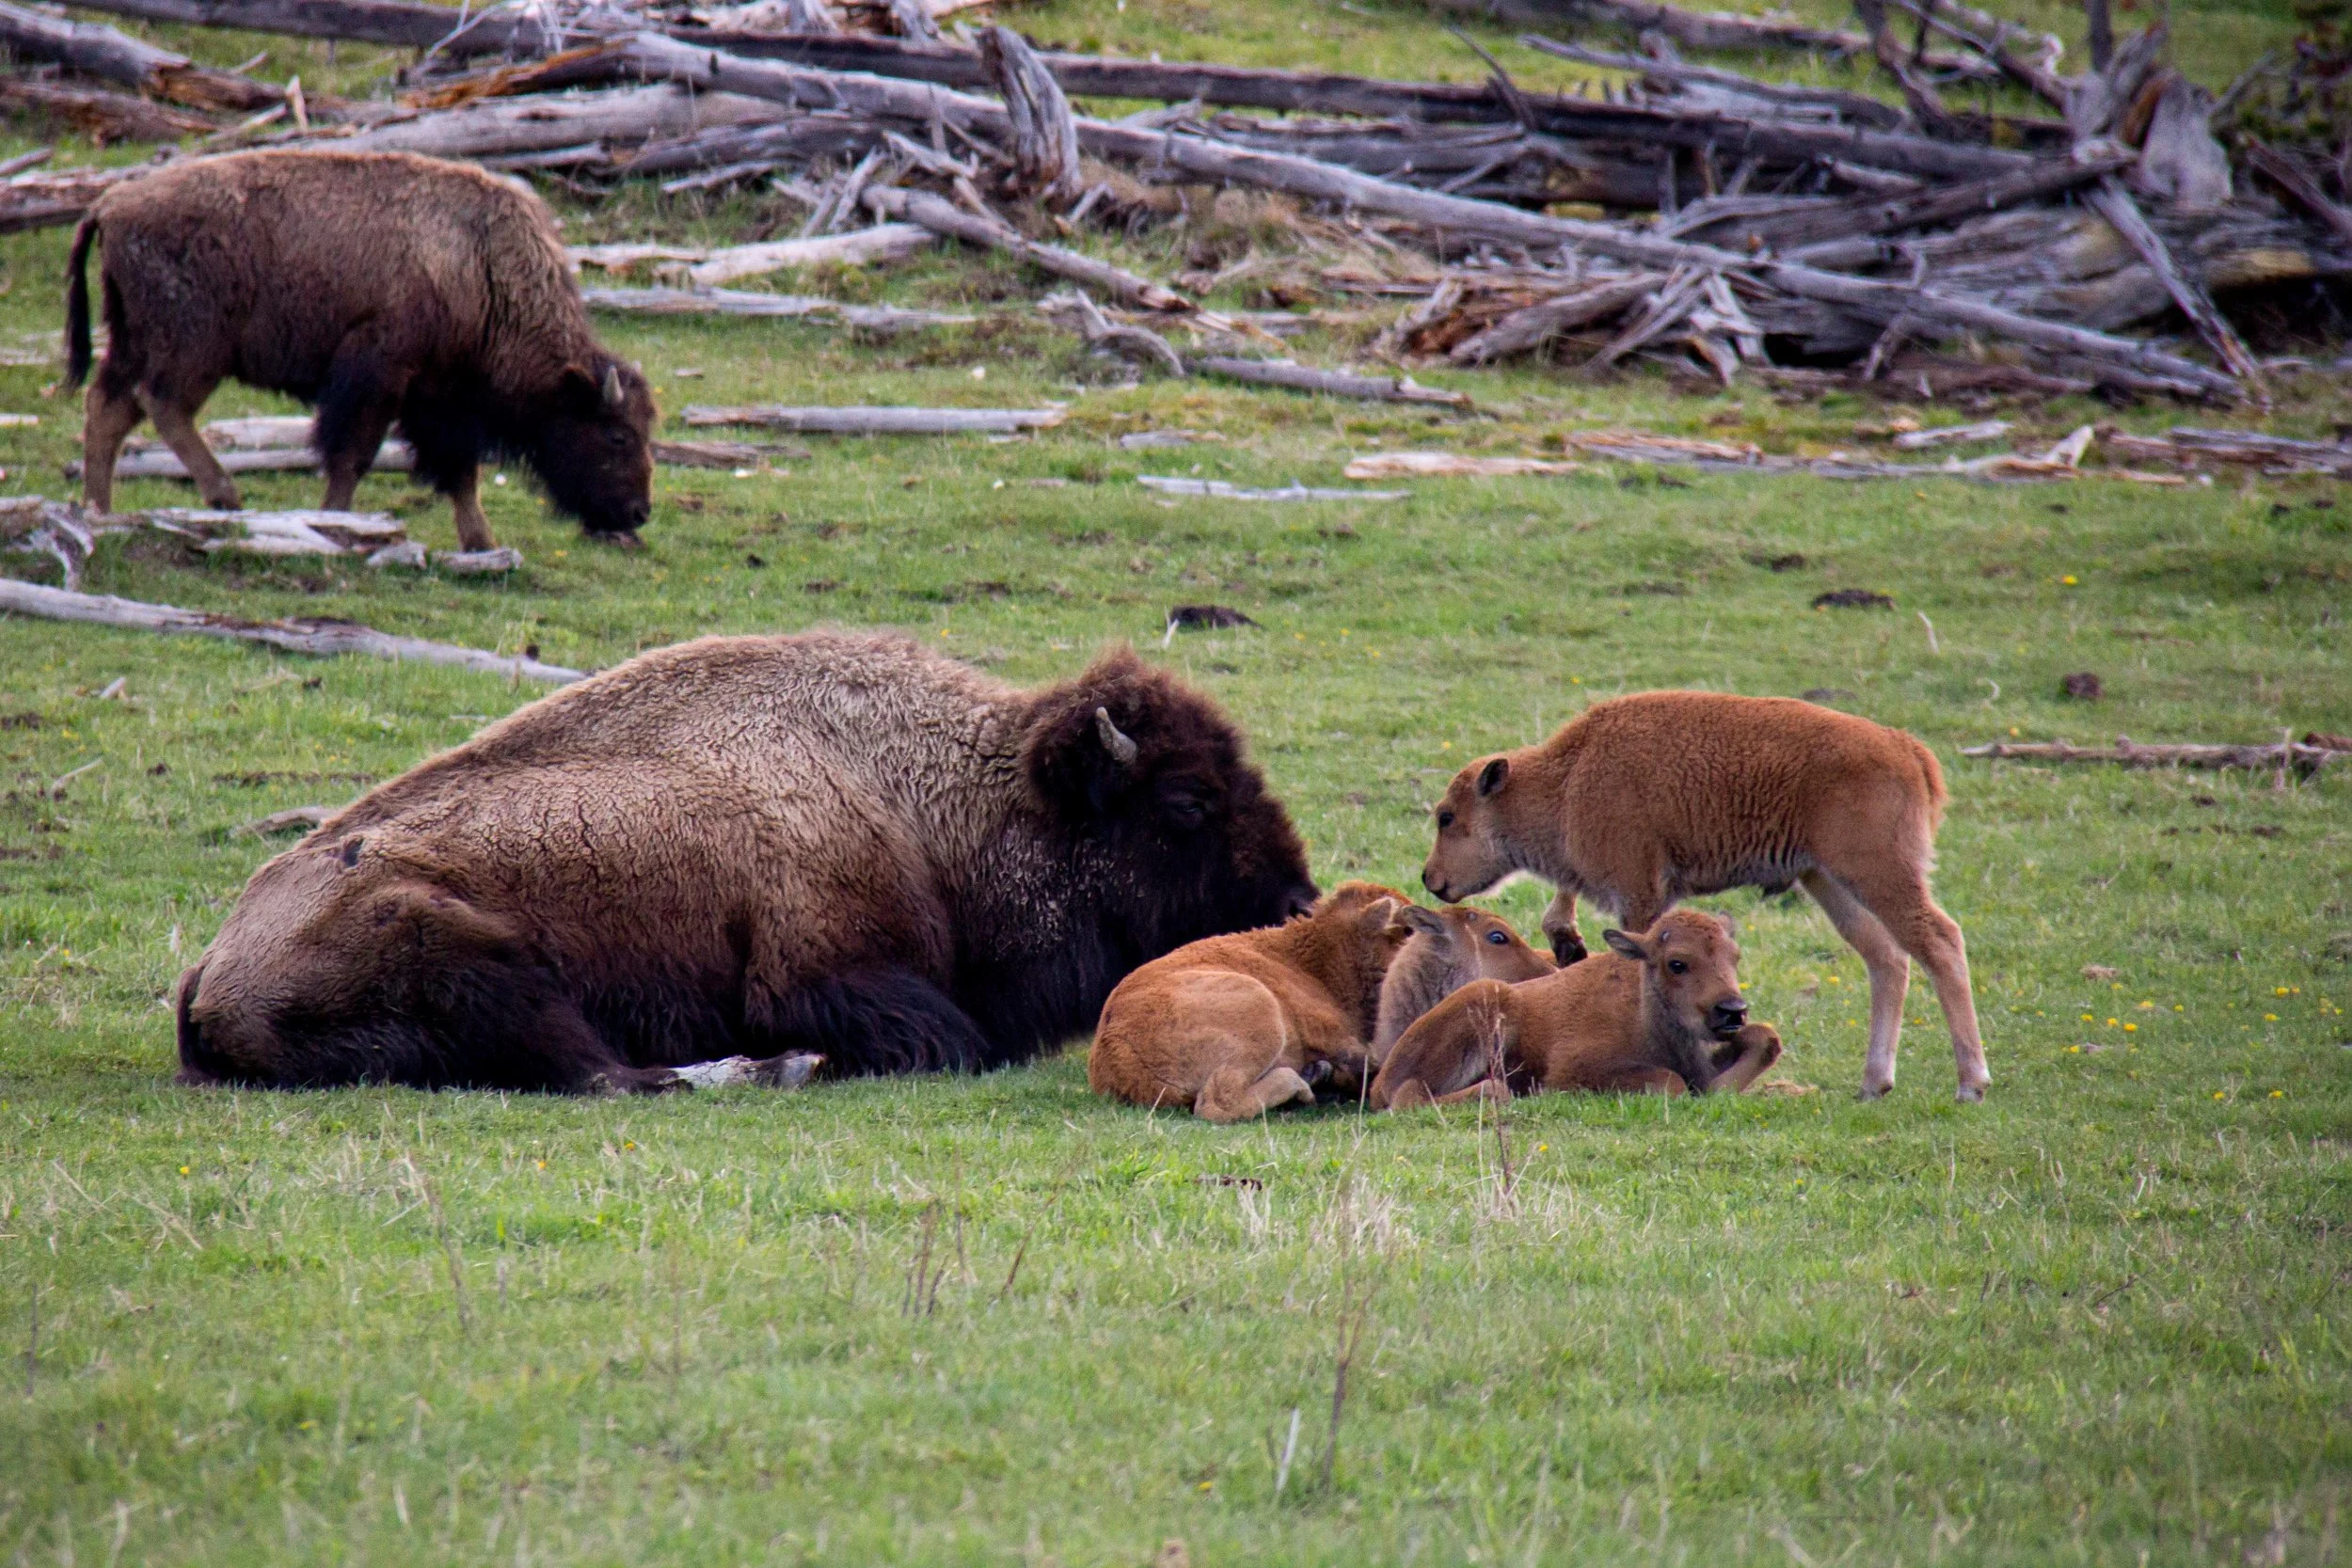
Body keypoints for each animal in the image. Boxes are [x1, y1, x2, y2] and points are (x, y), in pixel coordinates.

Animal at [65, 149, 655, 551]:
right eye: (618, 435)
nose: (639, 512)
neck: (480, 263)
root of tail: (110, 205)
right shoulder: (378, 375)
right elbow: (352, 455)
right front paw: (336, 522)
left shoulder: (441, 398)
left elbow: (460, 472)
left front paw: (481, 543)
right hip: (193, 349)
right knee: (161, 404)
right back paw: (224, 496)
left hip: (135, 341)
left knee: (108, 409)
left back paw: (99, 511)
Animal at [174, 633, 1318, 1092]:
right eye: (1186, 802)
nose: (1298, 898)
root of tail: (211, 978)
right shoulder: (820, 972)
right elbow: (945, 1038)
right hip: (470, 956)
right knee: (601, 1073)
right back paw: (771, 1069)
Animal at [1370, 910, 1782, 1110]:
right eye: (1677, 963)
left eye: (1735, 957)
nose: (1732, 1010)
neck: (1645, 1011)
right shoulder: (1574, 1069)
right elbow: (1672, 1082)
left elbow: (1766, 1040)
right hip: (1483, 1002)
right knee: (1411, 1096)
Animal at [1422, 691, 1986, 1101]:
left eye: (1447, 817)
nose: (1430, 878)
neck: (1569, 777)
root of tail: (1906, 747)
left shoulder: (1640, 891)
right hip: (1826, 880)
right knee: (1887, 958)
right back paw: (1873, 1084)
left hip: (1879, 872)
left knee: (1939, 941)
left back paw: (1971, 1084)